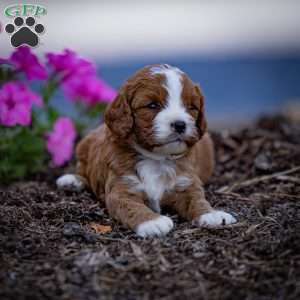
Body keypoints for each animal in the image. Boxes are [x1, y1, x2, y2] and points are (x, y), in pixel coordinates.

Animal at [56, 65, 237, 237]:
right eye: (152, 105)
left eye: (191, 107)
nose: (180, 124)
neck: (157, 158)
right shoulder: (122, 189)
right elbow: (132, 207)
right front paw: (152, 222)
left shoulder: (186, 182)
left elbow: (197, 199)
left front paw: (211, 214)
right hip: (84, 146)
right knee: (82, 168)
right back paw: (72, 180)